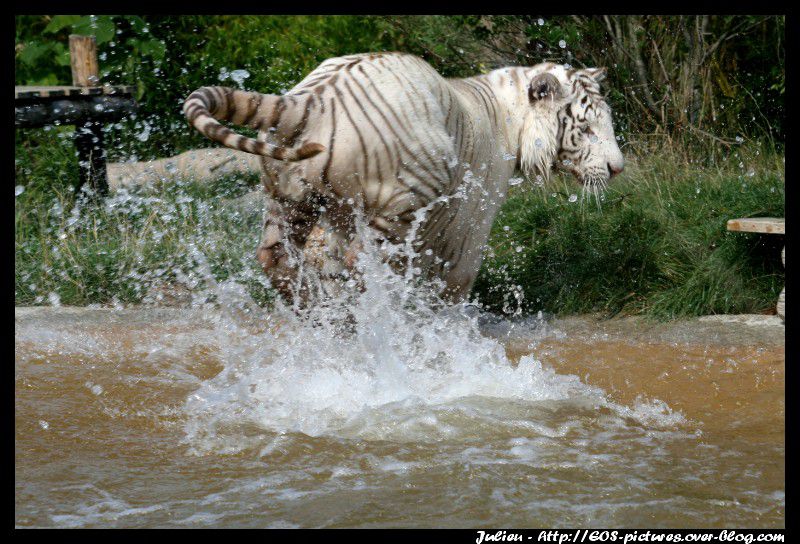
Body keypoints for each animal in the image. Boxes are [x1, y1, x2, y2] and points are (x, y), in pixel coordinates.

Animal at [186, 53, 624, 304]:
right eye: (587, 129)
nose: (618, 169)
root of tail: (314, 99)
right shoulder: (469, 222)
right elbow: (453, 285)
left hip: (292, 198)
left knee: (278, 258)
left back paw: (318, 312)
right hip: (404, 195)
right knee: (360, 264)